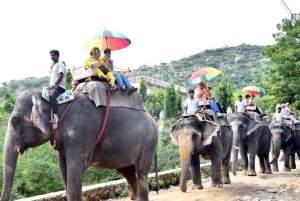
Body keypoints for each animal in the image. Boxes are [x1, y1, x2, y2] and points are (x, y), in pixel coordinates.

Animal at [0, 90, 158, 201]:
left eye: (15, 121)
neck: (52, 99)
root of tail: (153, 118)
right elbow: (63, 169)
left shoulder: (81, 131)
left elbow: (76, 168)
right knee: (127, 171)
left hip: (148, 143)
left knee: (141, 171)